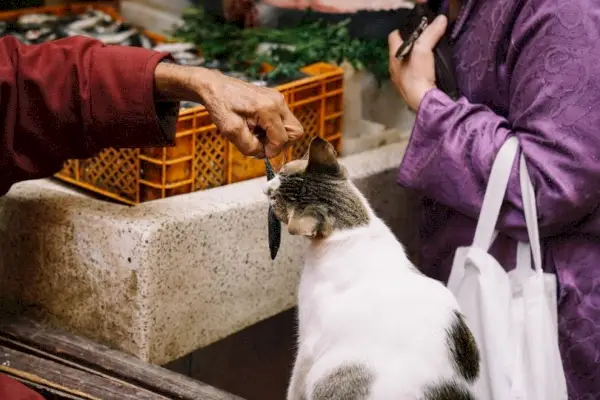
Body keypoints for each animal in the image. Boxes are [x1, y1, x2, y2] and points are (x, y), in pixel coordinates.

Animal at [264, 136, 480, 398]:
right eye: (283, 171)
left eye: (275, 201)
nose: (266, 188)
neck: (355, 228)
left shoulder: (307, 343)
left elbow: (294, 384)